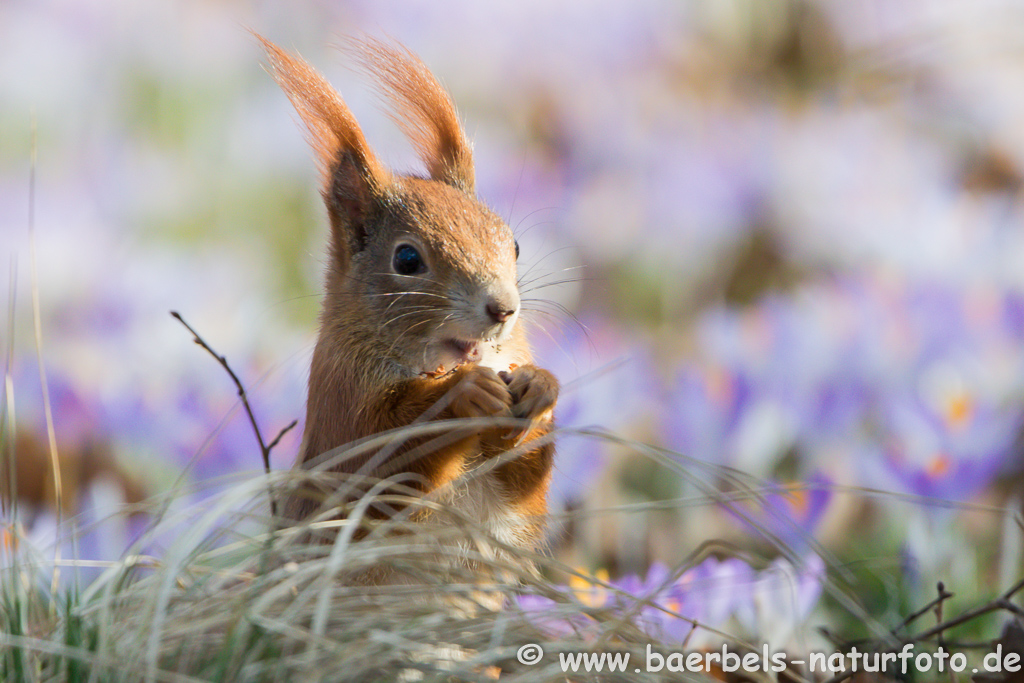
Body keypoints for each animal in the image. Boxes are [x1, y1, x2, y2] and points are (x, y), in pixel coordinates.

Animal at [260, 36, 557, 561]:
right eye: (407, 259)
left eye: (515, 245)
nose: (503, 308)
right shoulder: (341, 404)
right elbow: (380, 471)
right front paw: (462, 394)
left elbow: (524, 487)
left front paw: (540, 387)